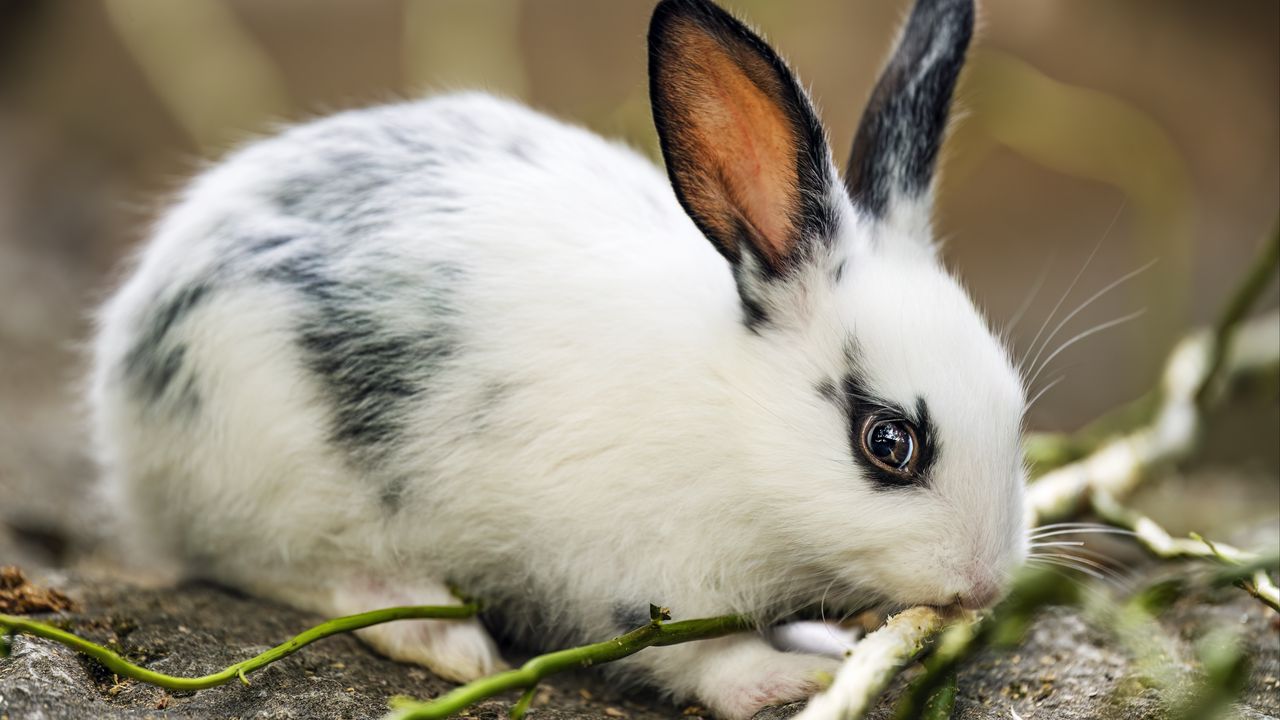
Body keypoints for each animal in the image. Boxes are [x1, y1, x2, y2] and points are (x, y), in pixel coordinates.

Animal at [89, 0, 1027, 717]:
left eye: (1016, 406)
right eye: (888, 443)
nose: (985, 586)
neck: (736, 421)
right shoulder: (639, 578)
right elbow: (694, 657)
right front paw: (789, 675)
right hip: (268, 459)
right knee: (279, 569)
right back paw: (439, 634)